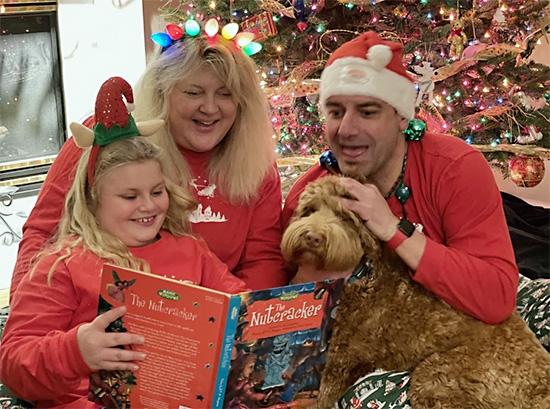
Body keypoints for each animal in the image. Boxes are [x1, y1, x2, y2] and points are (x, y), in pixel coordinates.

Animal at [282, 175, 550, 408]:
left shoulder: (341, 361)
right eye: (309, 210)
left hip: (437, 376)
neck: (360, 276)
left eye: (344, 217)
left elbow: (323, 396)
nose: (312, 237)